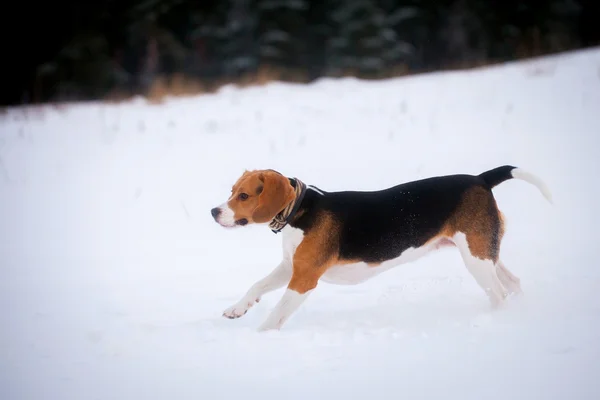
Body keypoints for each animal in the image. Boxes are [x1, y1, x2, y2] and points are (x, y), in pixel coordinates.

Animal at [211, 166, 552, 332]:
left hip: (476, 259)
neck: (300, 210)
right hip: (484, 254)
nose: (213, 212)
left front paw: (261, 336)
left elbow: (278, 311)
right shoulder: (290, 267)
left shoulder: (303, 278)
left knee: (500, 294)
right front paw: (237, 309)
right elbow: (257, 285)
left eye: (243, 196)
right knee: (513, 283)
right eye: (231, 191)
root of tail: (481, 179)